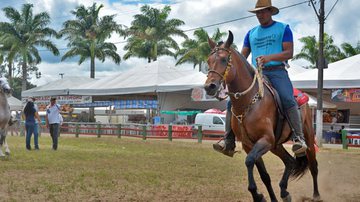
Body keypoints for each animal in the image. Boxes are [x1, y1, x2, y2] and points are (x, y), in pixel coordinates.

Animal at [204, 30, 320, 201]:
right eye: (208, 61)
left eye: (224, 59)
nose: (209, 87)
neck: (250, 102)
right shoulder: (250, 145)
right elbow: (264, 175)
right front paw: (265, 196)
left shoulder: (265, 140)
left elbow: (249, 161)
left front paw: (258, 195)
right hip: (276, 146)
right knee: (290, 161)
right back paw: (284, 192)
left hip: (307, 138)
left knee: (313, 166)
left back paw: (316, 194)